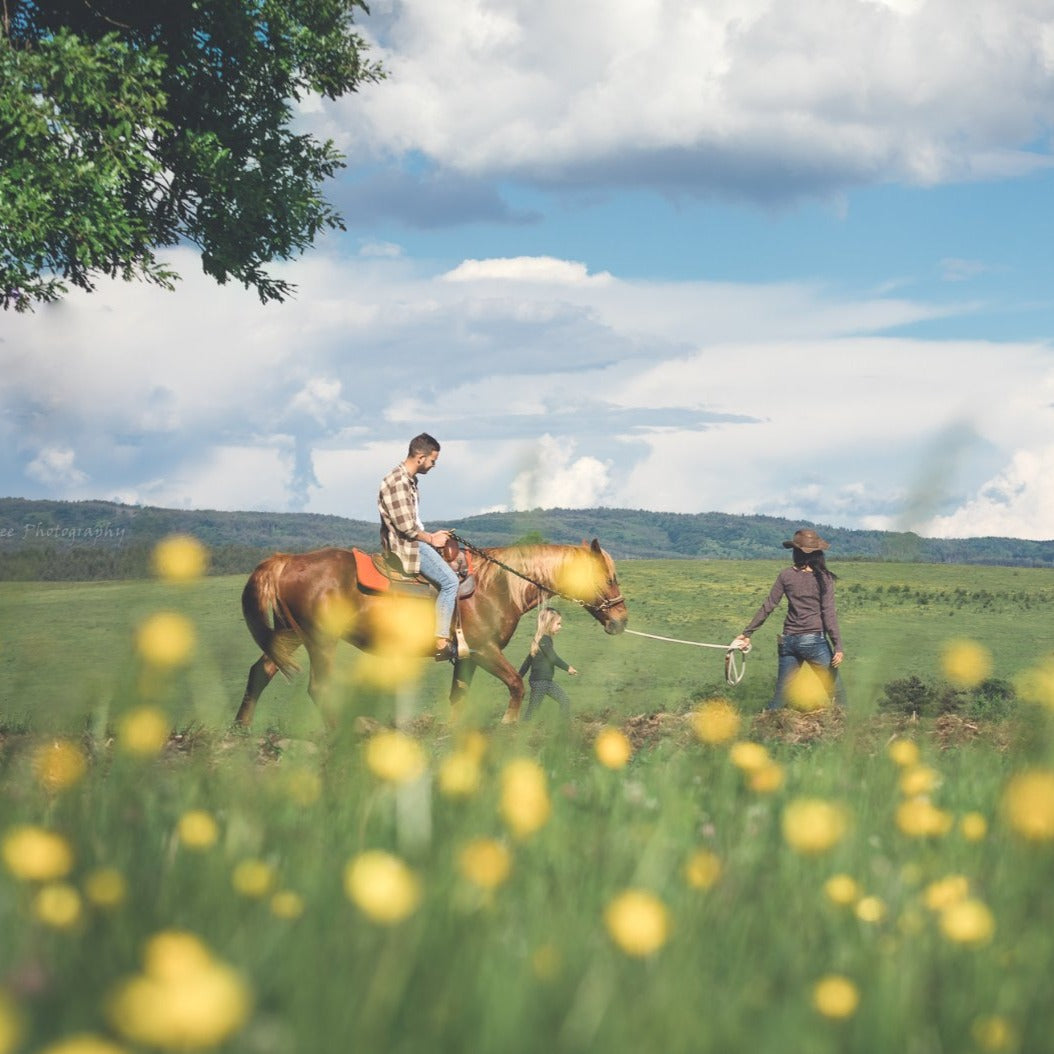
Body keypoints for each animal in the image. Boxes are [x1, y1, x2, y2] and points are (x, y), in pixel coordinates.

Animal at [233, 539, 623, 729]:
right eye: (609, 578)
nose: (620, 620)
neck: (496, 586)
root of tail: (286, 560)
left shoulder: (466, 657)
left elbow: (458, 697)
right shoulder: (484, 651)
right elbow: (516, 684)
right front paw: (508, 724)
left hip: (290, 635)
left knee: (260, 672)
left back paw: (240, 732)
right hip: (320, 641)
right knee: (319, 688)